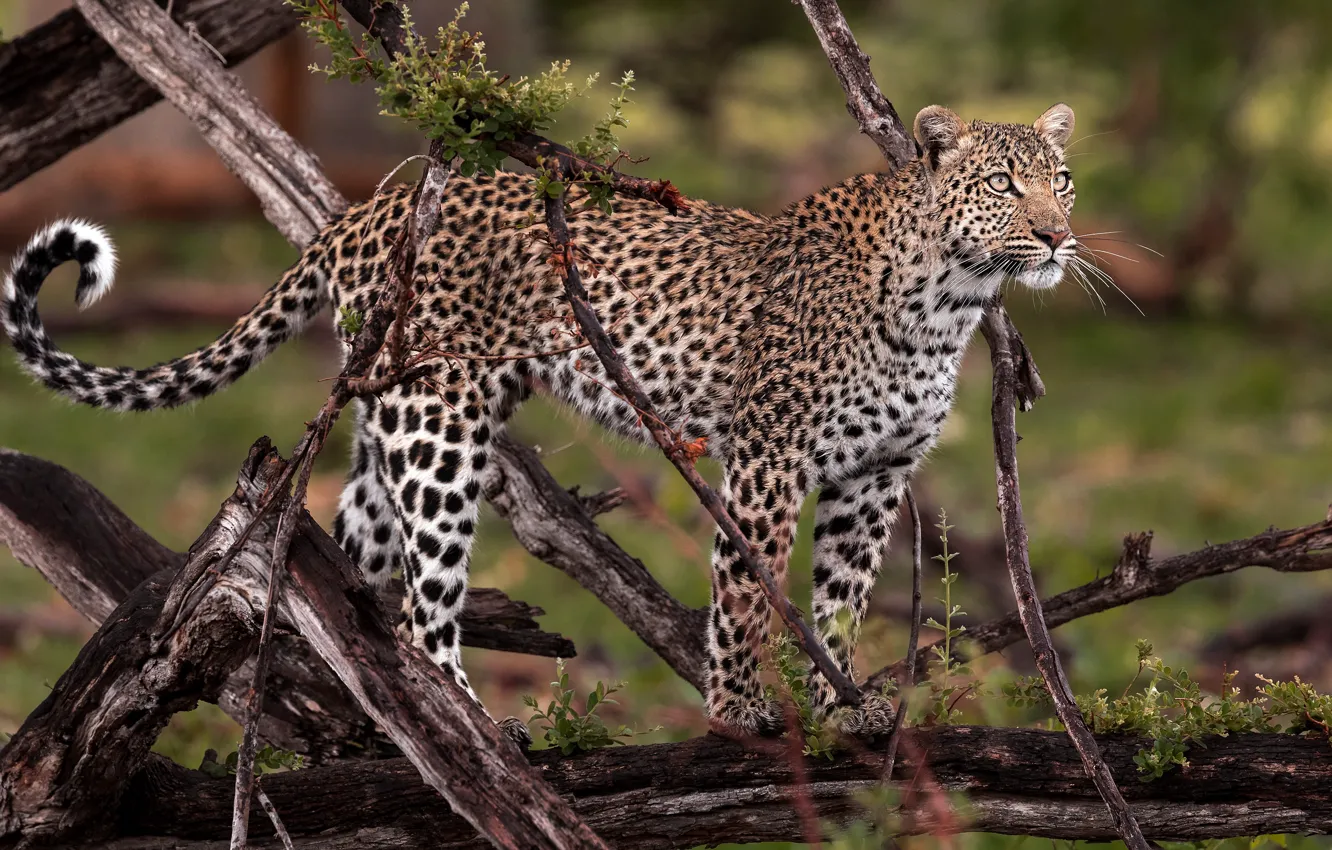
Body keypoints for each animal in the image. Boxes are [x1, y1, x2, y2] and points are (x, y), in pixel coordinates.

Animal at [2, 103, 1077, 741]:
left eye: (1059, 180)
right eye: (1002, 184)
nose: (1059, 235)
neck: (950, 301)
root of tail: (364, 211)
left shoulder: (874, 476)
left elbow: (841, 602)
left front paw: (844, 707)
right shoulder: (768, 458)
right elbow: (746, 594)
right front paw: (739, 709)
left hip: (387, 427)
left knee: (356, 577)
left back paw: (375, 728)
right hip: (440, 429)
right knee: (422, 611)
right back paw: (481, 726)